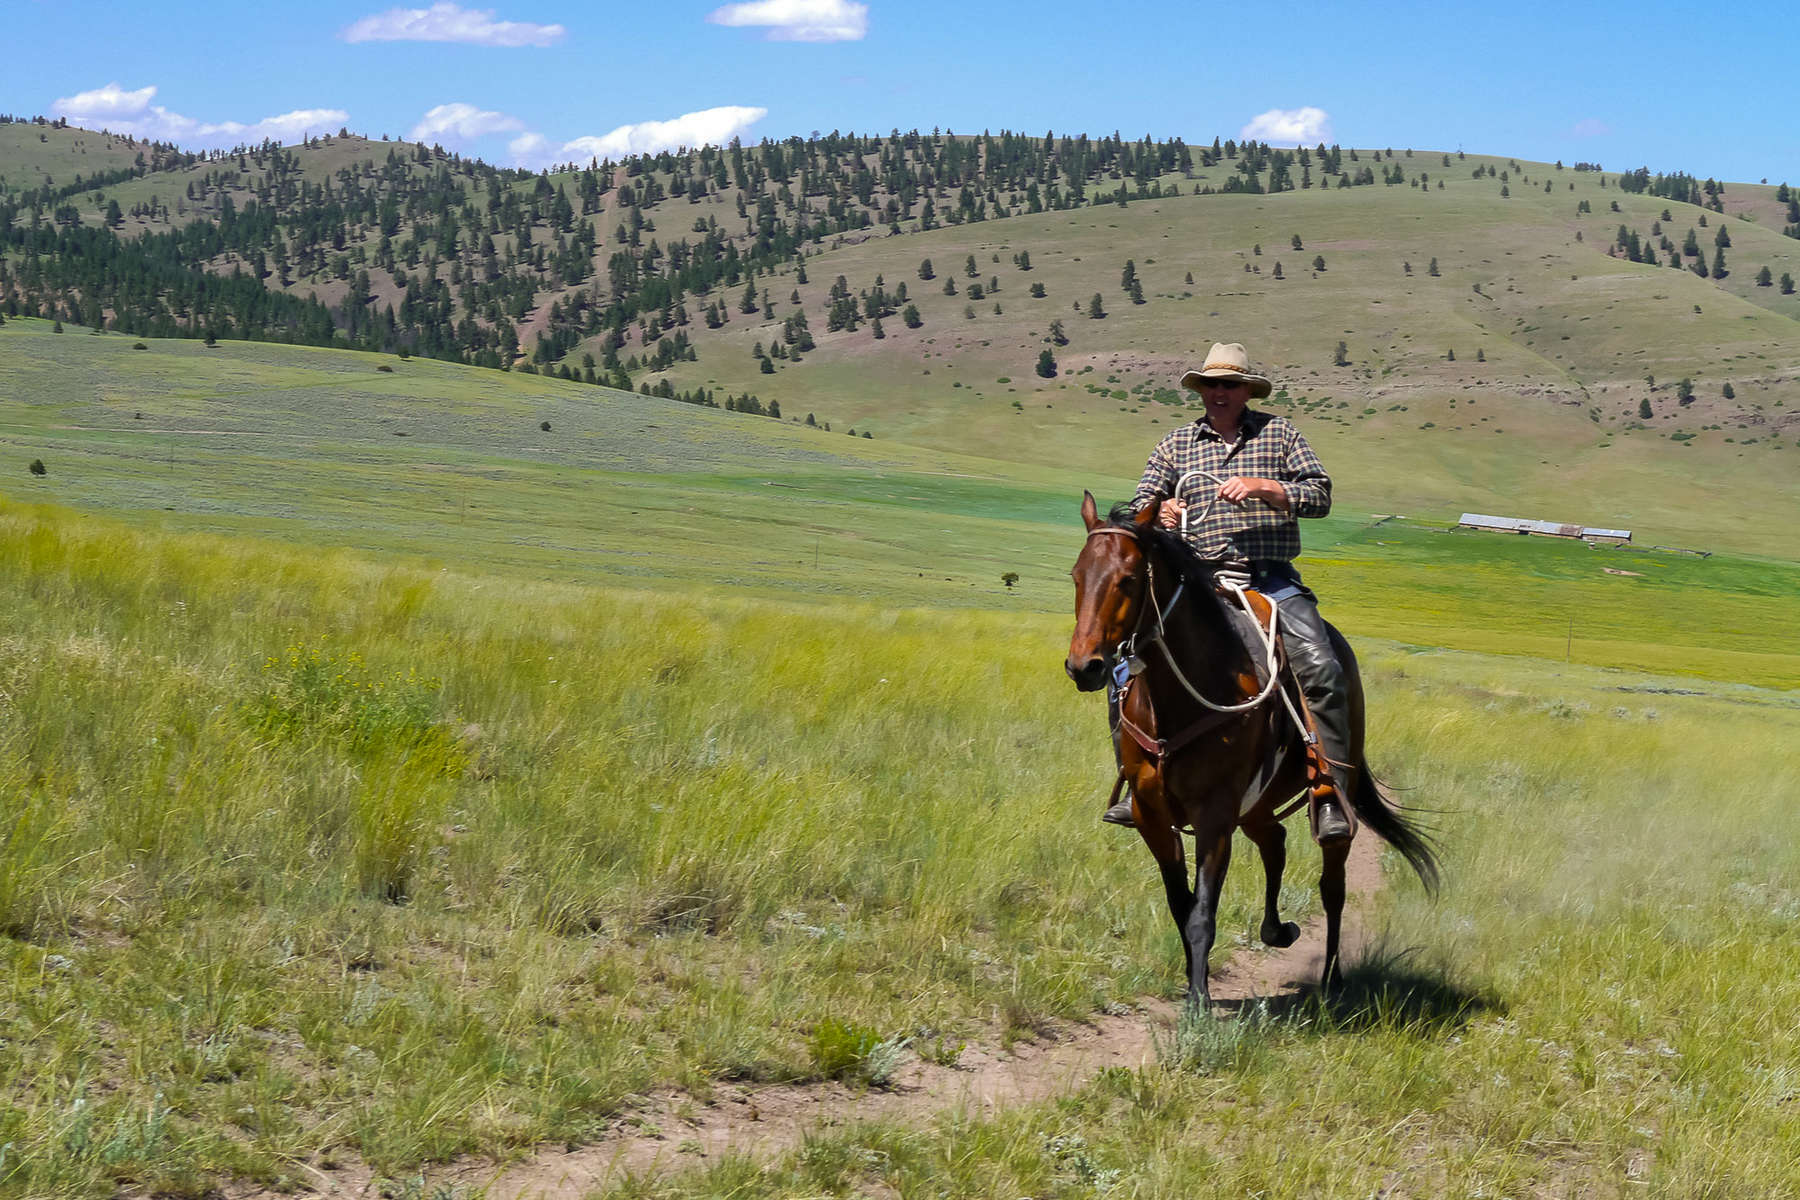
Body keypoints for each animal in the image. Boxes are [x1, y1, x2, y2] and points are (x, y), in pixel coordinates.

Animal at [1065, 492, 1432, 1007]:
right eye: (1077, 576)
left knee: (1332, 886)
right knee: (1274, 842)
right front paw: (1193, 983)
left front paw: (1198, 1004)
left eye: (1128, 579)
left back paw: (1332, 979)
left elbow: (1201, 913)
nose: (1085, 667)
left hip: (1318, 803)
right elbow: (1180, 905)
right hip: (1256, 804)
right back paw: (1278, 931)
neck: (1182, 695)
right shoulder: (1151, 814)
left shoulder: (1216, 815)